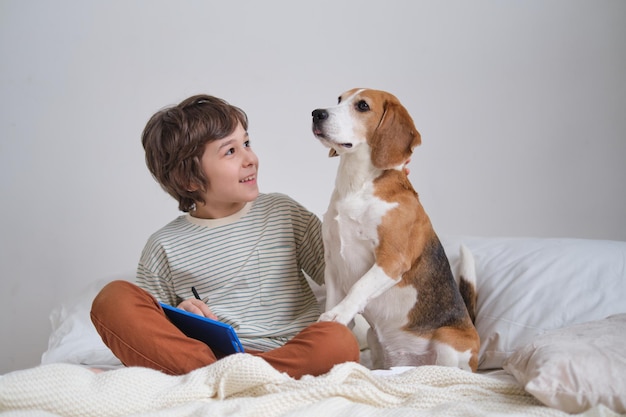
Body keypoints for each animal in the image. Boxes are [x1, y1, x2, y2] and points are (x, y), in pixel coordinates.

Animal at [310, 88, 478, 370]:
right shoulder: (332, 262)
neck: (357, 185)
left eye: (362, 106)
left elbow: (359, 287)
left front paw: (337, 315)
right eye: (339, 100)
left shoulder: (391, 261)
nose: (316, 113)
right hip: (374, 338)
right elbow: (336, 295)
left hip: (448, 340)